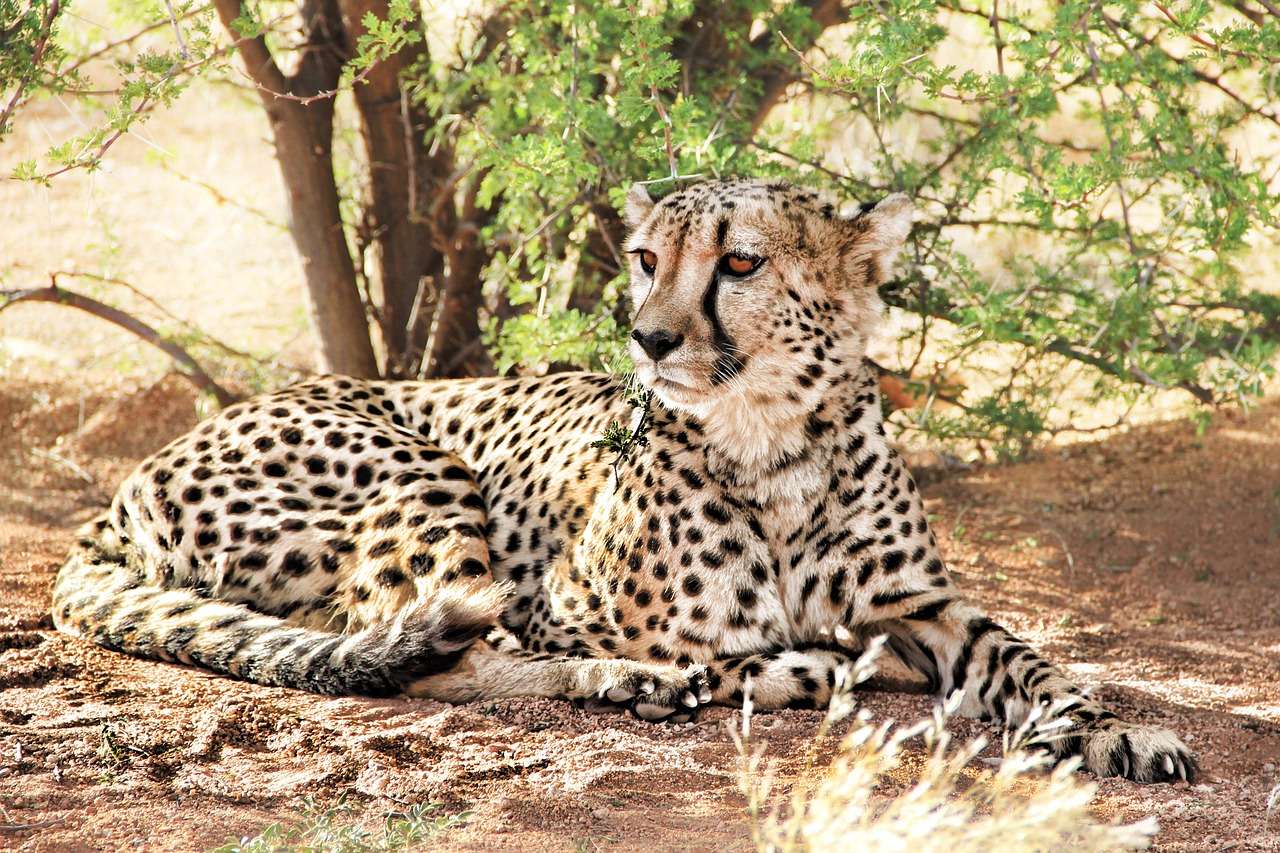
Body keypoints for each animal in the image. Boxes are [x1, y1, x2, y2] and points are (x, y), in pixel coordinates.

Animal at [52, 177, 1196, 783]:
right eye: (647, 257)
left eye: (739, 263)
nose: (647, 337)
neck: (772, 440)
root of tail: (121, 492)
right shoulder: (551, 604)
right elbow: (706, 649)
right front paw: (739, 669)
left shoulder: (921, 605)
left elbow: (1031, 661)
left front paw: (1114, 727)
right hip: (418, 469)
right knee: (417, 647)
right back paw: (647, 682)